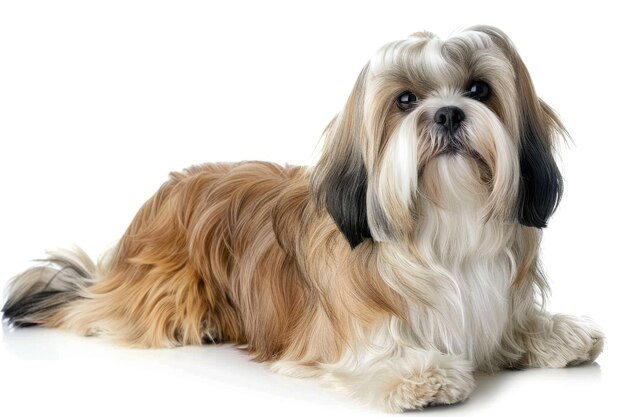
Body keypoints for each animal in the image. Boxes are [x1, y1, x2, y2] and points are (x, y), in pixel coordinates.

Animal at [2, 26, 604, 412]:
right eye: (405, 100)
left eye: (480, 89)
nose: (449, 113)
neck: (443, 224)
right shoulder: (346, 328)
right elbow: (381, 346)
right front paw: (420, 373)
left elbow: (512, 324)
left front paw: (556, 333)